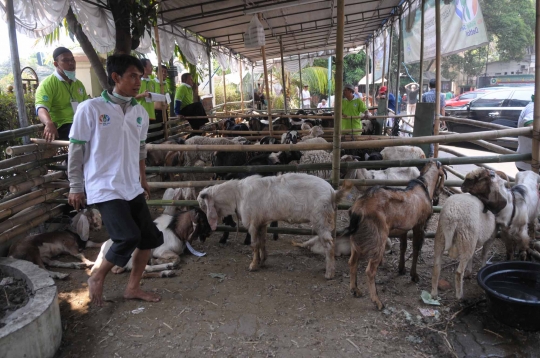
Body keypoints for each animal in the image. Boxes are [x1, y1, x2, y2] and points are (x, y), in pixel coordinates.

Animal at [198, 174, 354, 280]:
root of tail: (333, 192)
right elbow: (262, 242)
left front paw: (253, 265)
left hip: (320, 219)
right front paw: (262, 260)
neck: (238, 195)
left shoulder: (252, 222)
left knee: (329, 245)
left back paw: (329, 273)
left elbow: (254, 245)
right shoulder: (262, 222)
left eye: (202, 206)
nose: (206, 230)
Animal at [344, 161, 446, 310]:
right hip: (378, 238)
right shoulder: (419, 225)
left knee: (352, 261)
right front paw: (414, 276)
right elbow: (416, 248)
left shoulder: (403, 228)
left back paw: (355, 290)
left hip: (357, 238)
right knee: (370, 270)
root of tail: (359, 209)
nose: (438, 199)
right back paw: (378, 302)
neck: (424, 185)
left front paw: (401, 269)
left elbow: (403, 247)